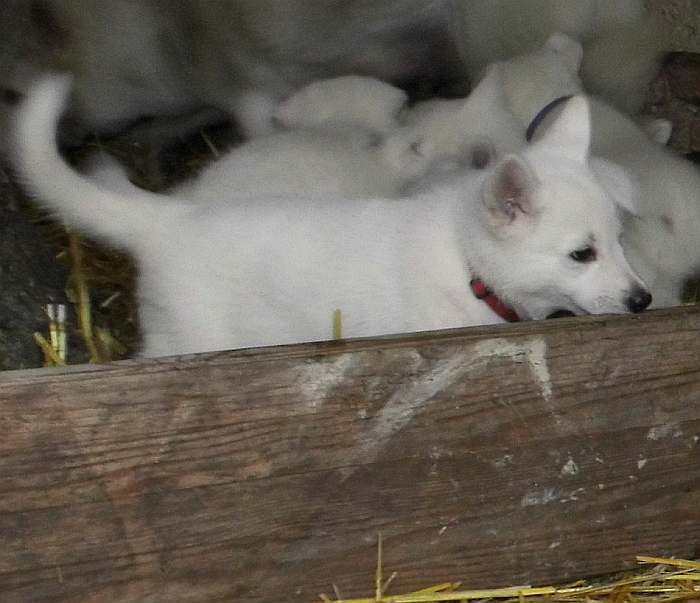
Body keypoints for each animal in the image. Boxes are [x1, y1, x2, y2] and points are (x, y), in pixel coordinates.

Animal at [13, 78, 648, 356]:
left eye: (620, 241)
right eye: (581, 254)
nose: (643, 300)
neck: (466, 263)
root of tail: (168, 218)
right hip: (184, 341)